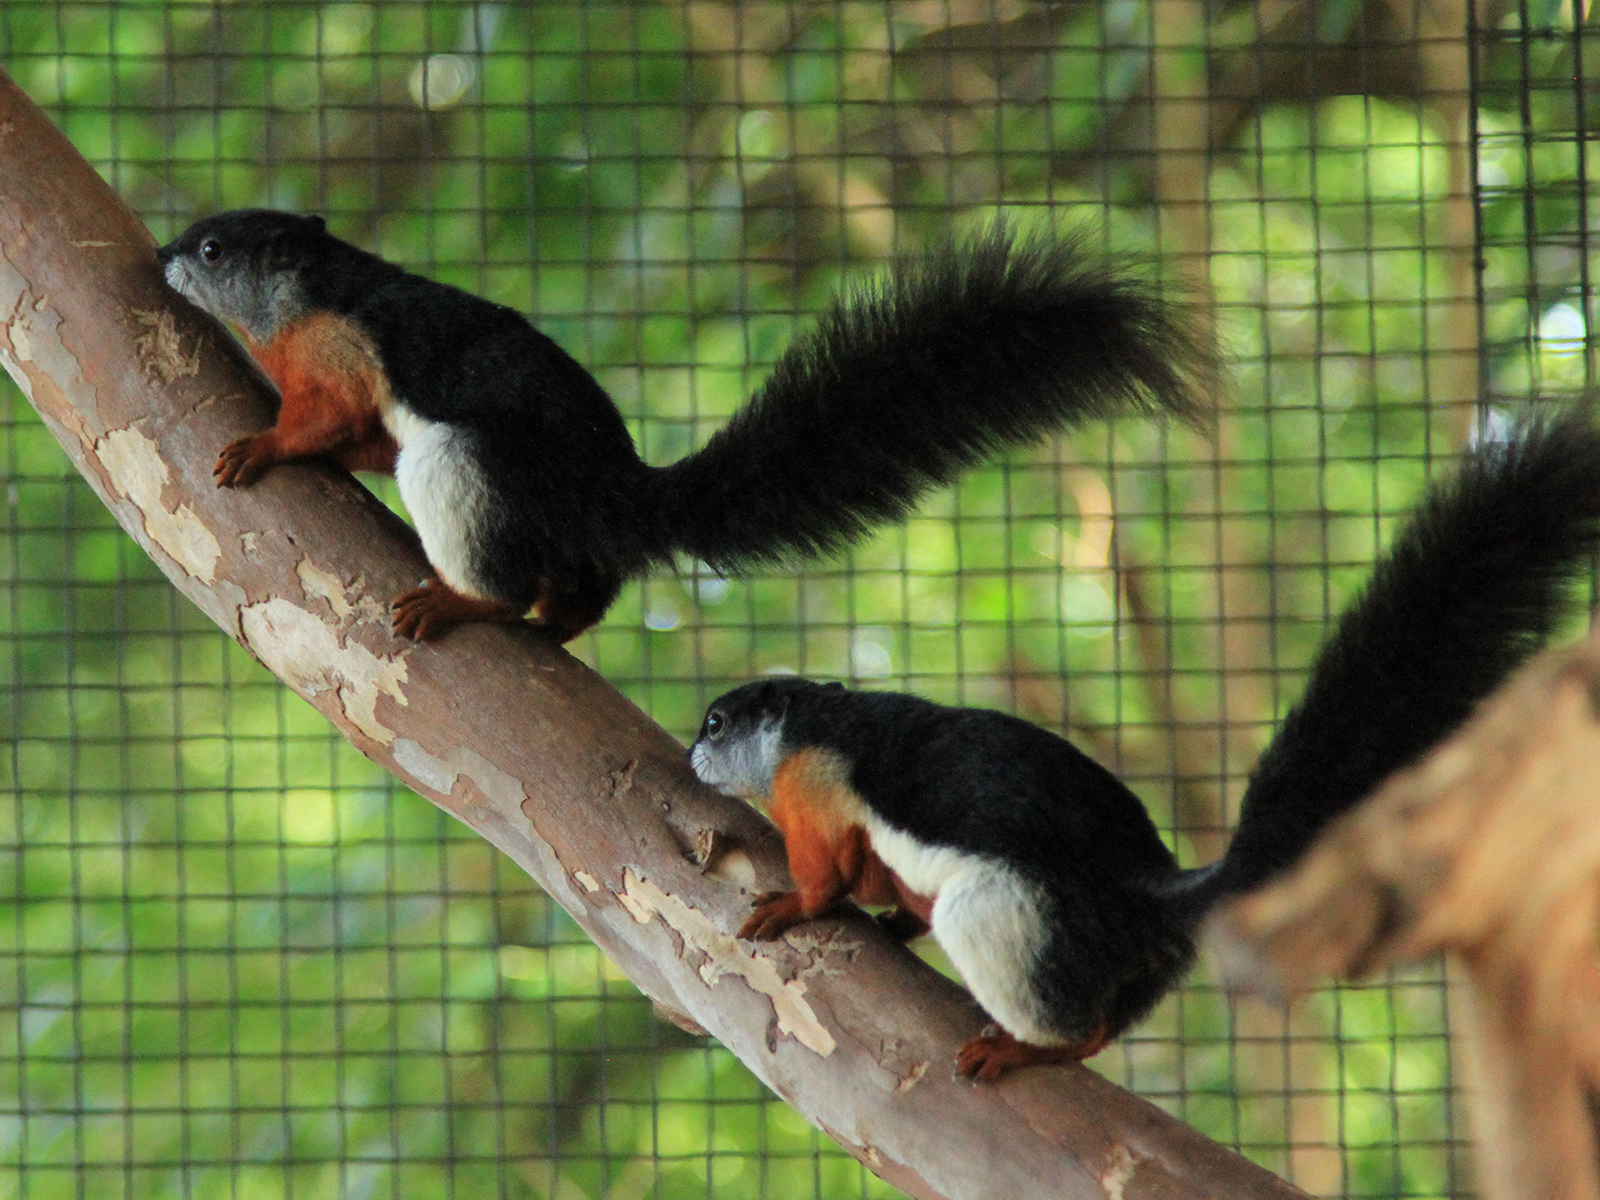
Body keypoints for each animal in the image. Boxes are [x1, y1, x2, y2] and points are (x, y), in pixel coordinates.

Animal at [155, 211, 1209, 642]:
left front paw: (263, 445)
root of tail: (614, 494)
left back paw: (468, 604)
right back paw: (565, 620)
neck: (307, 294)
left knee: (499, 558)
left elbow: (325, 419)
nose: (163, 255)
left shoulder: (339, 351)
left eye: (213, 249)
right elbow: (361, 439)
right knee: (587, 583)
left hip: (467, 465)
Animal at [688, 411, 1600, 1081]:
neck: (813, 719)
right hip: (1139, 964)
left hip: (1019, 915)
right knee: (1106, 1021)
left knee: (1045, 992)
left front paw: (793, 906)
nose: (694, 755)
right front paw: (892, 919)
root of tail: (1148, 894)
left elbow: (825, 878)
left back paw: (1025, 1047)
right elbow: (883, 885)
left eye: (716, 724)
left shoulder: (810, 783)